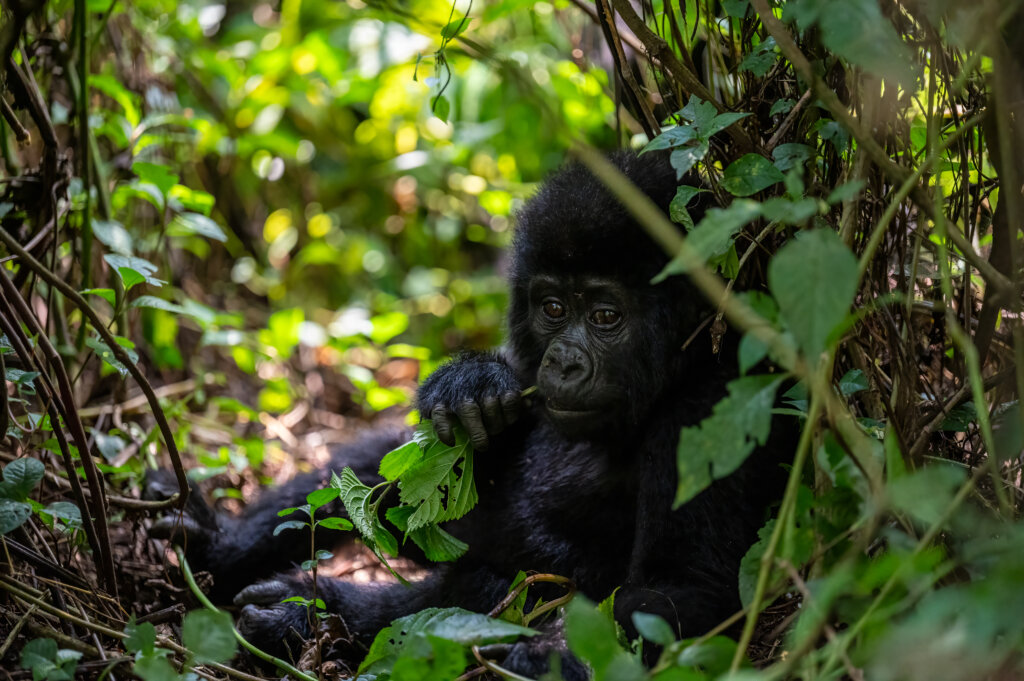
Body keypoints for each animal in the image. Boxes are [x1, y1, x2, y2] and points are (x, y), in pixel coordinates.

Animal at [148, 151, 782, 675]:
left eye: (606, 316)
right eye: (553, 308)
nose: (562, 363)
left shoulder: (709, 409)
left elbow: (681, 590)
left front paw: (547, 658)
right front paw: (470, 382)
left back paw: (307, 611)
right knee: (376, 471)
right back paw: (216, 544)